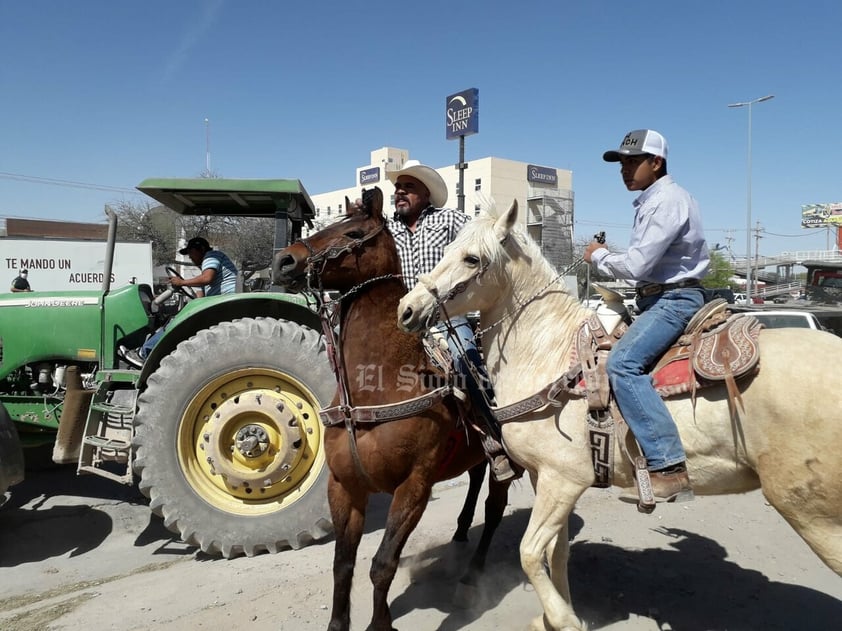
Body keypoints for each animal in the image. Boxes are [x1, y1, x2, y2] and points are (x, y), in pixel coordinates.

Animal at [272, 188, 508, 631]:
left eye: (353, 232)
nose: (284, 261)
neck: (374, 390)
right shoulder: (343, 488)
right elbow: (343, 565)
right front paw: (338, 624)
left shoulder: (413, 488)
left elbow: (382, 564)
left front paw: (380, 623)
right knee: (475, 480)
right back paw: (460, 532)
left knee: (495, 505)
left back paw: (473, 573)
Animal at [398, 201, 840, 631]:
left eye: (471, 258)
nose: (407, 309)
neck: (549, 354)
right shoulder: (548, 479)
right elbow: (557, 553)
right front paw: (556, 617)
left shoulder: (562, 480)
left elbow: (530, 551)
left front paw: (563, 620)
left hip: (814, 516)